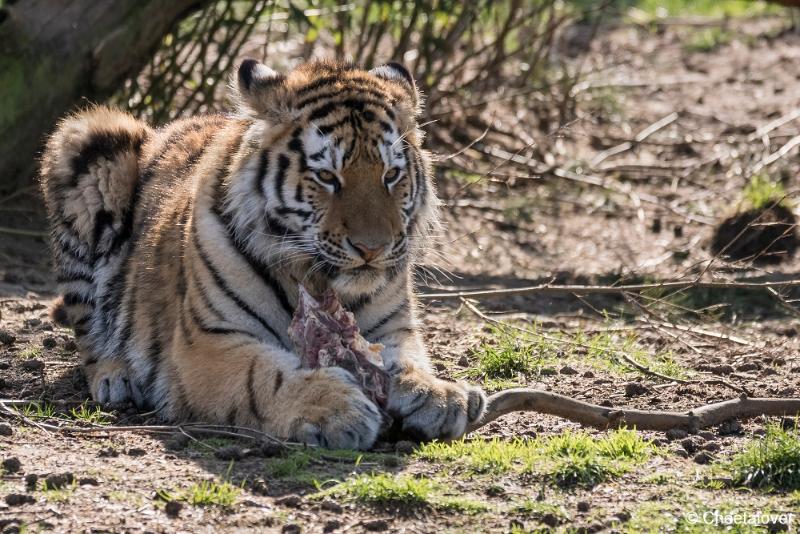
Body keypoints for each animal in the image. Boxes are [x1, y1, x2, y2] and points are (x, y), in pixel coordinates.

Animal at [40, 58, 488, 450]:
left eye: (391, 175)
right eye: (327, 176)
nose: (372, 248)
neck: (319, 280)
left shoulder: (392, 329)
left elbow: (407, 360)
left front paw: (438, 394)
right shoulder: (208, 343)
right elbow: (267, 377)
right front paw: (337, 408)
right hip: (89, 136)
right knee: (88, 329)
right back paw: (116, 377)